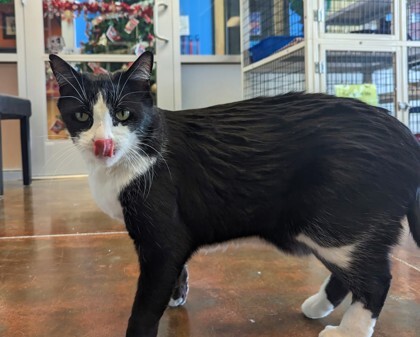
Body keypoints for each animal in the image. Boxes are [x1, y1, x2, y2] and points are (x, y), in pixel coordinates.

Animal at [50, 51, 420, 336]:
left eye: (123, 114)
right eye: (82, 115)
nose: (103, 144)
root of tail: (406, 135)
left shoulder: (161, 239)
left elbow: (144, 306)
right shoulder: (173, 238)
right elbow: (178, 267)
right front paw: (177, 294)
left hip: (337, 225)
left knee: (376, 279)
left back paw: (349, 330)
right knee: (349, 275)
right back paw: (318, 306)